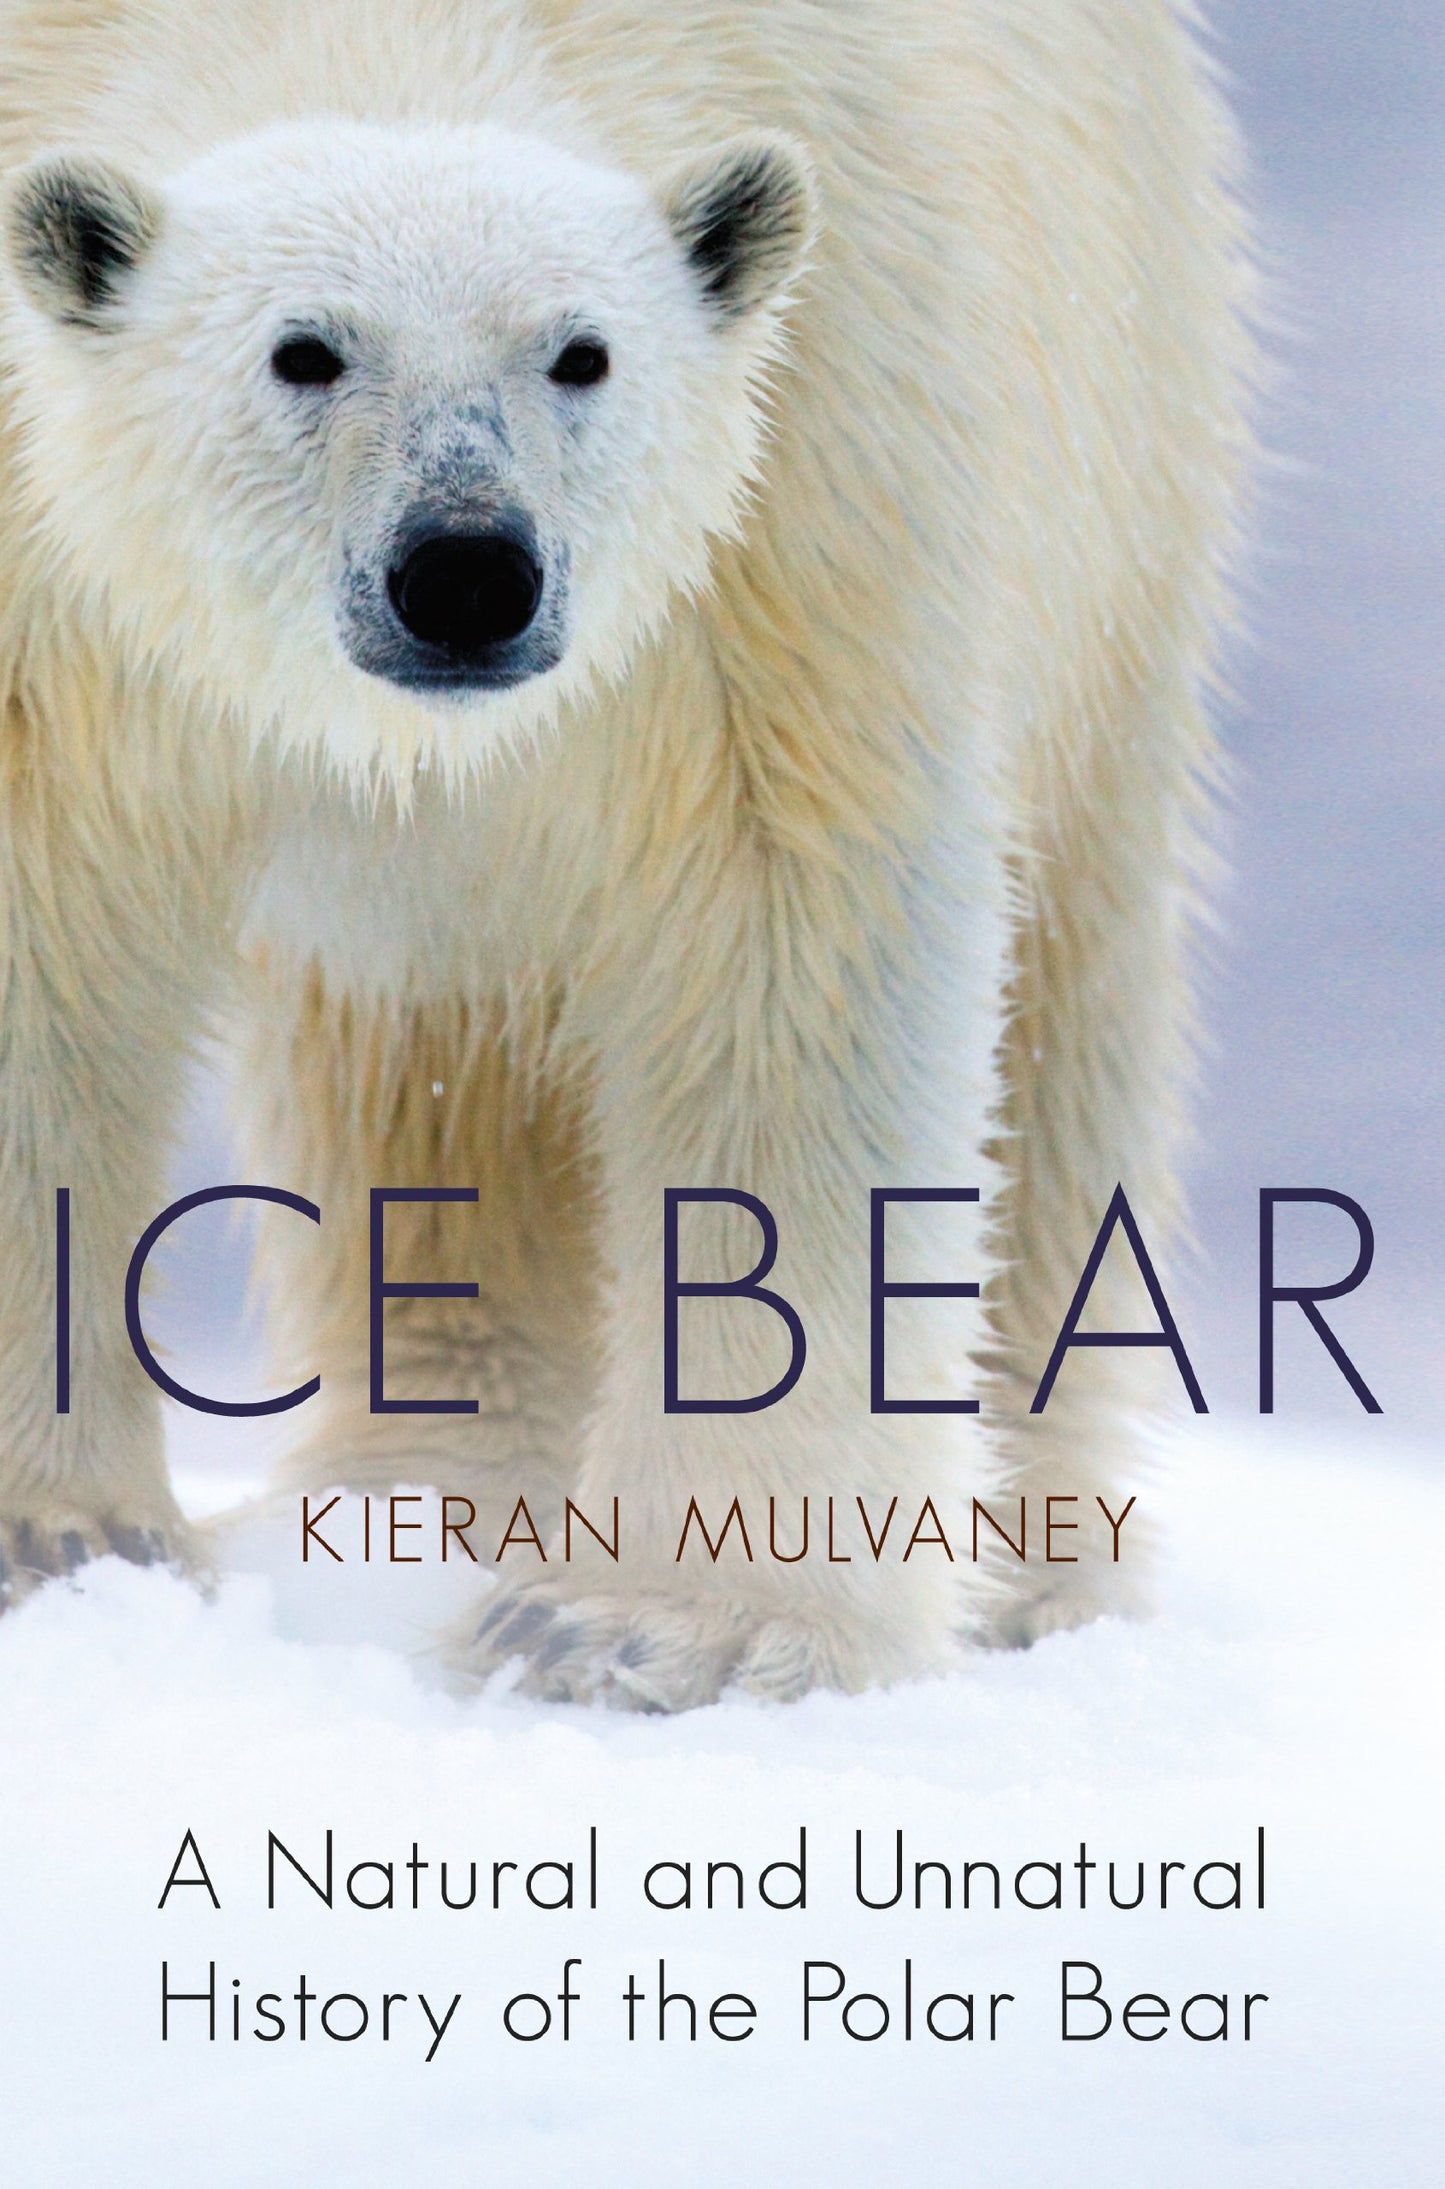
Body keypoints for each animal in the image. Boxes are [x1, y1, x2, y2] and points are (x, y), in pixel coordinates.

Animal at [0, 0, 1252, 1706]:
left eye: (579, 352)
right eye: (303, 349)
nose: (466, 569)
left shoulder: (802, 480)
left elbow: (780, 947)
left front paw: (660, 1626)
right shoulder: (43, 588)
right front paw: (58, 1539)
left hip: (1128, 460)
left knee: (1066, 1021)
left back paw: (1032, 1571)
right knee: (421, 1064)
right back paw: (420, 1496)